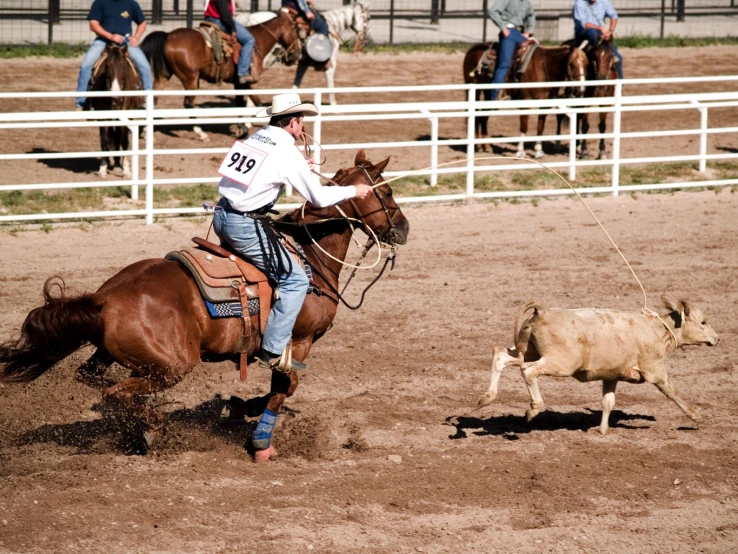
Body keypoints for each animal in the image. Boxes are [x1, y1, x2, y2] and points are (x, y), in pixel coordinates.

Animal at [0, 149, 408, 460]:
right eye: (386, 192)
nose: (403, 228)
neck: (310, 257)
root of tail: (107, 297)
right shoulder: (297, 342)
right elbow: (285, 386)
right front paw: (259, 440)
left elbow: (282, 387)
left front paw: (240, 406)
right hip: (171, 366)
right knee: (116, 393)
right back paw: (152, 429)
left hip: (112, 355)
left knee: (94, 381)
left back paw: (137, 432)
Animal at [87, 45, 142, 179]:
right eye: (107, 66)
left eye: (124, 65)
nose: (115, 98)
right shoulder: (103, 115)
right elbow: (105, 139)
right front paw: (102, 169)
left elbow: (124, 141)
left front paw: (127, 170)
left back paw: (118, 164)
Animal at [141, 7, 308, 140]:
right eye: (295, 30)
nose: (297, 55)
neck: (257, 42)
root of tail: (168, 35)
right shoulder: (251, 81)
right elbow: (257, 103)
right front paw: (246, 129)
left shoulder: (238, 83)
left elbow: (240, 104)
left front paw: (243, 129)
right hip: (191, 78)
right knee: (188, 103)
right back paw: (201, 133)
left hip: (164, 76)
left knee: (153, 100)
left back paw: (146, 132)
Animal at [474, 296, 716, 434]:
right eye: (703, 322)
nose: (717, 338)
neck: (659, 330)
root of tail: (543, 311)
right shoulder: (654, 369)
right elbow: (673, 392)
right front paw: (695, 415)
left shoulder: (612, 375)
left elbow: (608, 402)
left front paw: (602, 430)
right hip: (560, 363)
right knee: (529, 371)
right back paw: (533, 409)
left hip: (528, 350)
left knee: (500, 355)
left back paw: (486, 398)